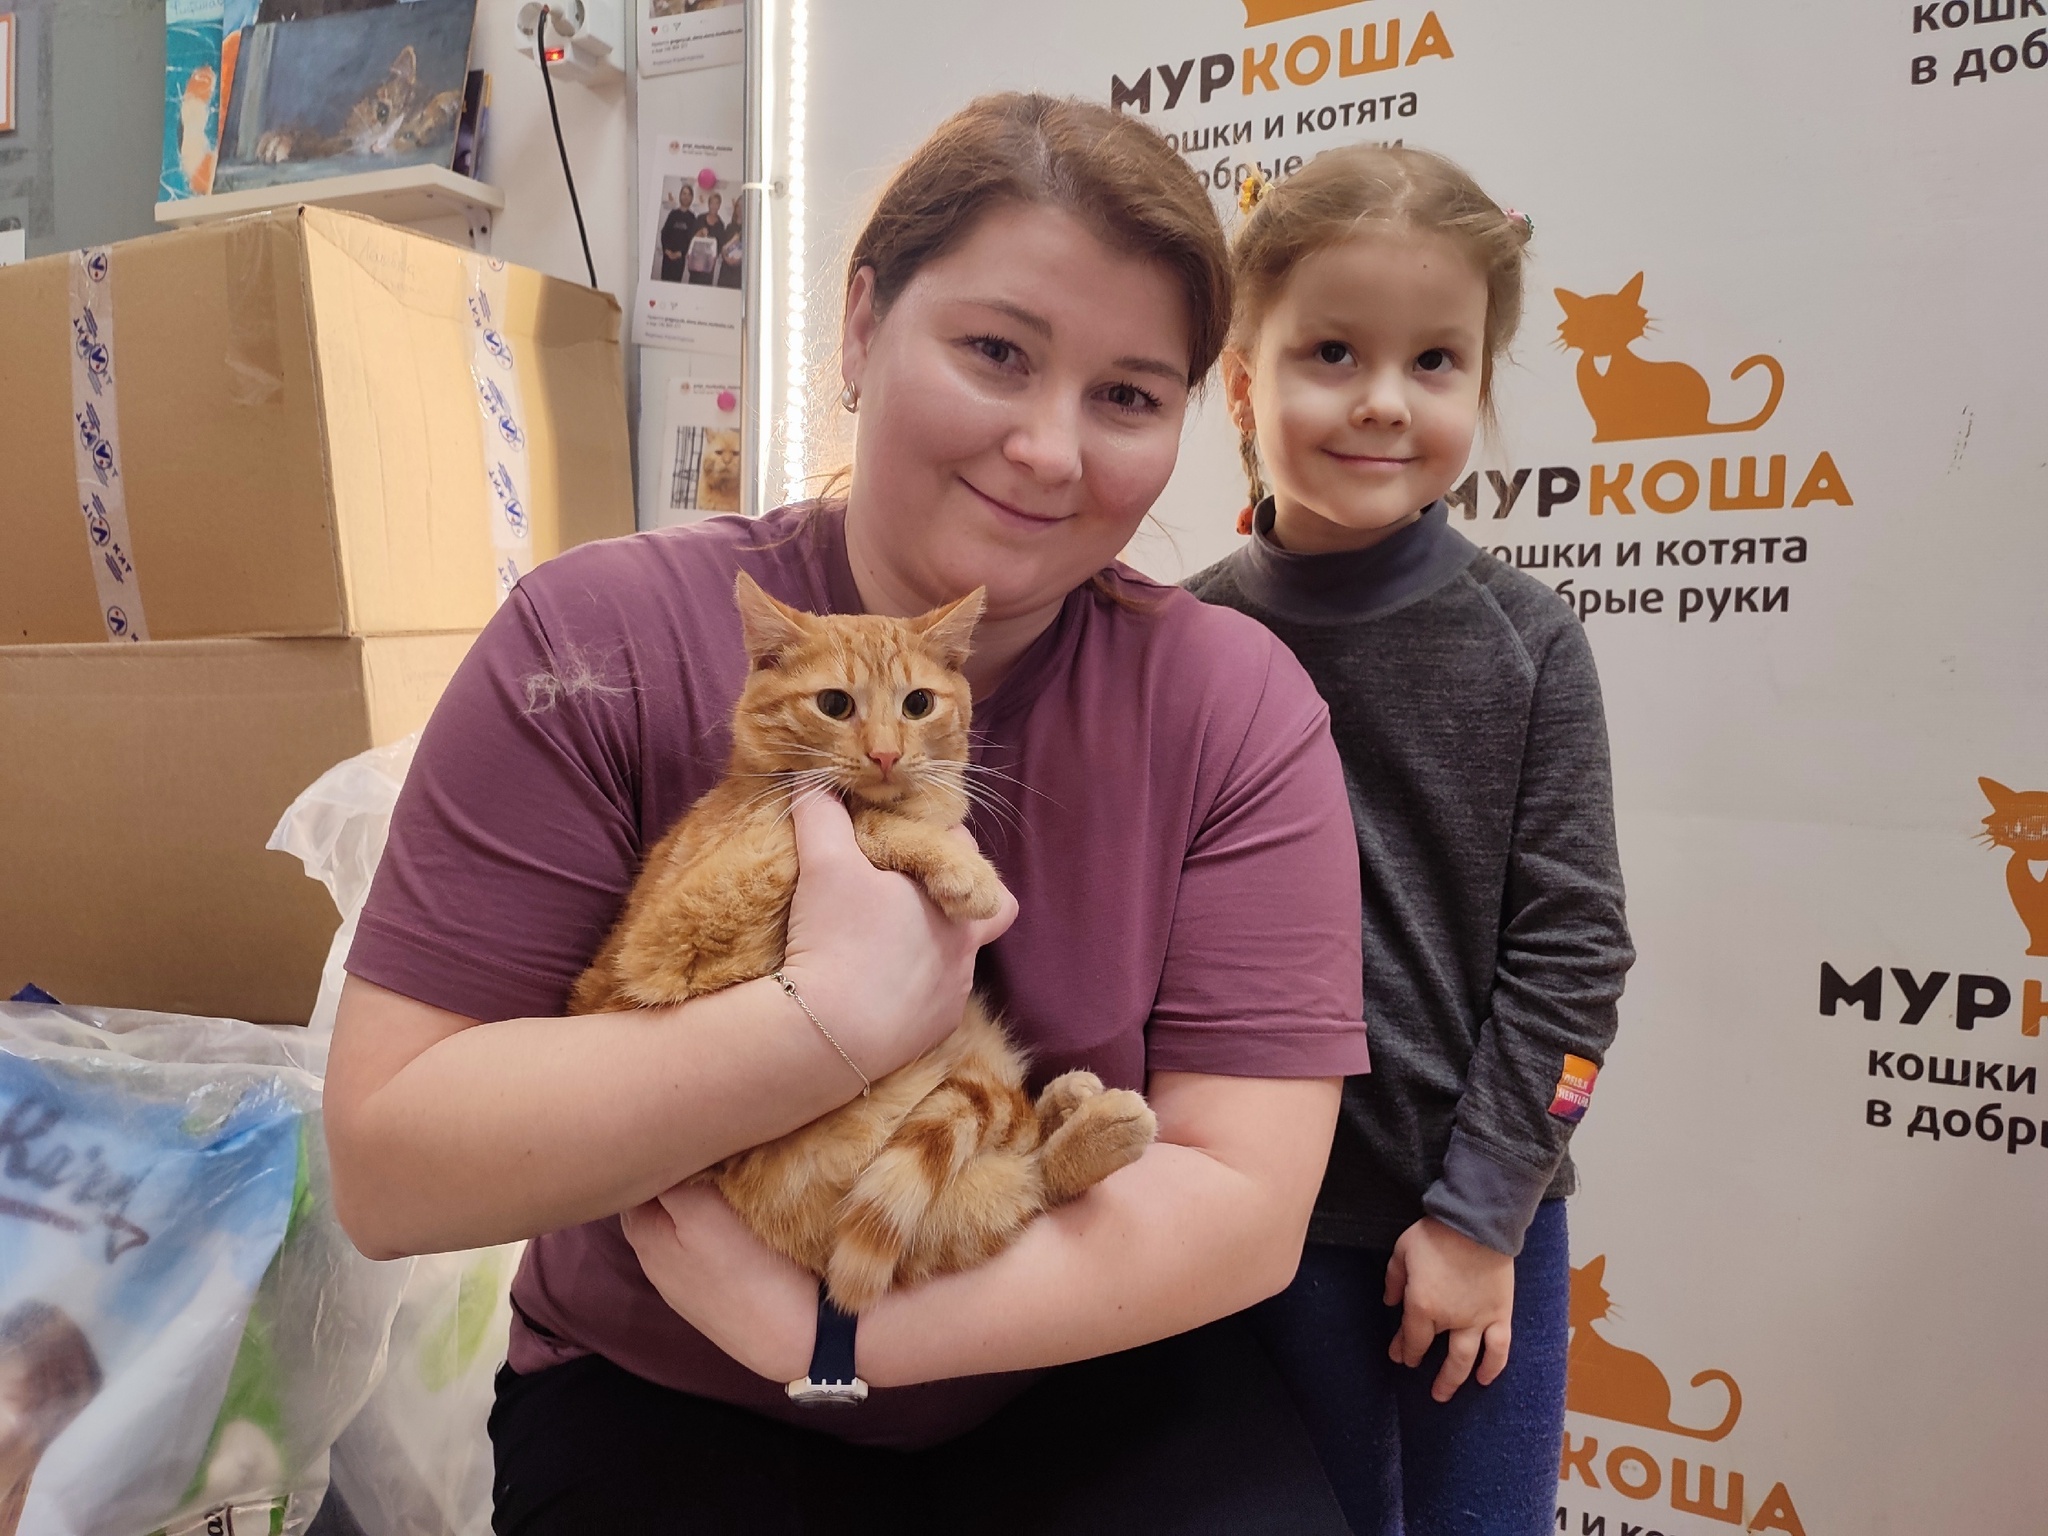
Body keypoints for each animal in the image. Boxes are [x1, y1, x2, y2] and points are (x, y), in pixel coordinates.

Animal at [570, 573, 1158, 1311]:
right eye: (834, 704)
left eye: (918, 703)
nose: (884, 753)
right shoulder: (686, 928)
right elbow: (861, 820)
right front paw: (960, 868)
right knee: (1004, 1193)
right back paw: (1099, 1126)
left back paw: (1071, 1105)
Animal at [1555, 273, 1785, 444]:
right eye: (1587, 323)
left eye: (1616, 320)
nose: (1602, 338)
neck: (1603, 361)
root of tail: (1704, 420)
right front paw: (1602, 437)